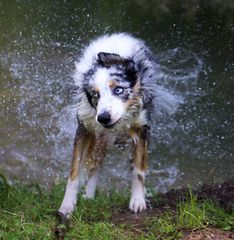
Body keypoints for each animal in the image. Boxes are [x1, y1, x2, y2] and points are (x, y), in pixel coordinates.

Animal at [58, 32, 159, 221]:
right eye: (95, 94)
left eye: (118, 90)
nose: (103, 118)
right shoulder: (84, 128)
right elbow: (74, 171)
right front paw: (66, 206)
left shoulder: (142, 128)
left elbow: (138, 169)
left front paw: (138, 201)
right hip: (101, 138)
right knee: (95, 165)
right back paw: (88, 195)